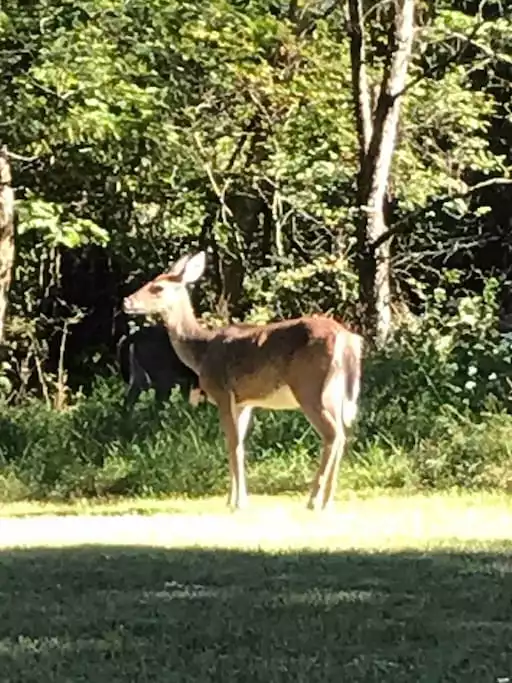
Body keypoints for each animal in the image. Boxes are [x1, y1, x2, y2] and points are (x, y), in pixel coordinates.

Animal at [123, 252, 364, 512]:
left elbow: (233, 444)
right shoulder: (244, 402)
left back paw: (313, 500)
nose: (126, 301)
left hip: (310, 387)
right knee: (343, 434)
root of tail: (347, 339)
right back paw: (328, 502)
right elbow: (239, 444)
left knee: (333, 434)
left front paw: (237, 502)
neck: (201, 351)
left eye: (157, 287)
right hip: (336, 393)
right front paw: (235, 498)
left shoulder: (222, 392)